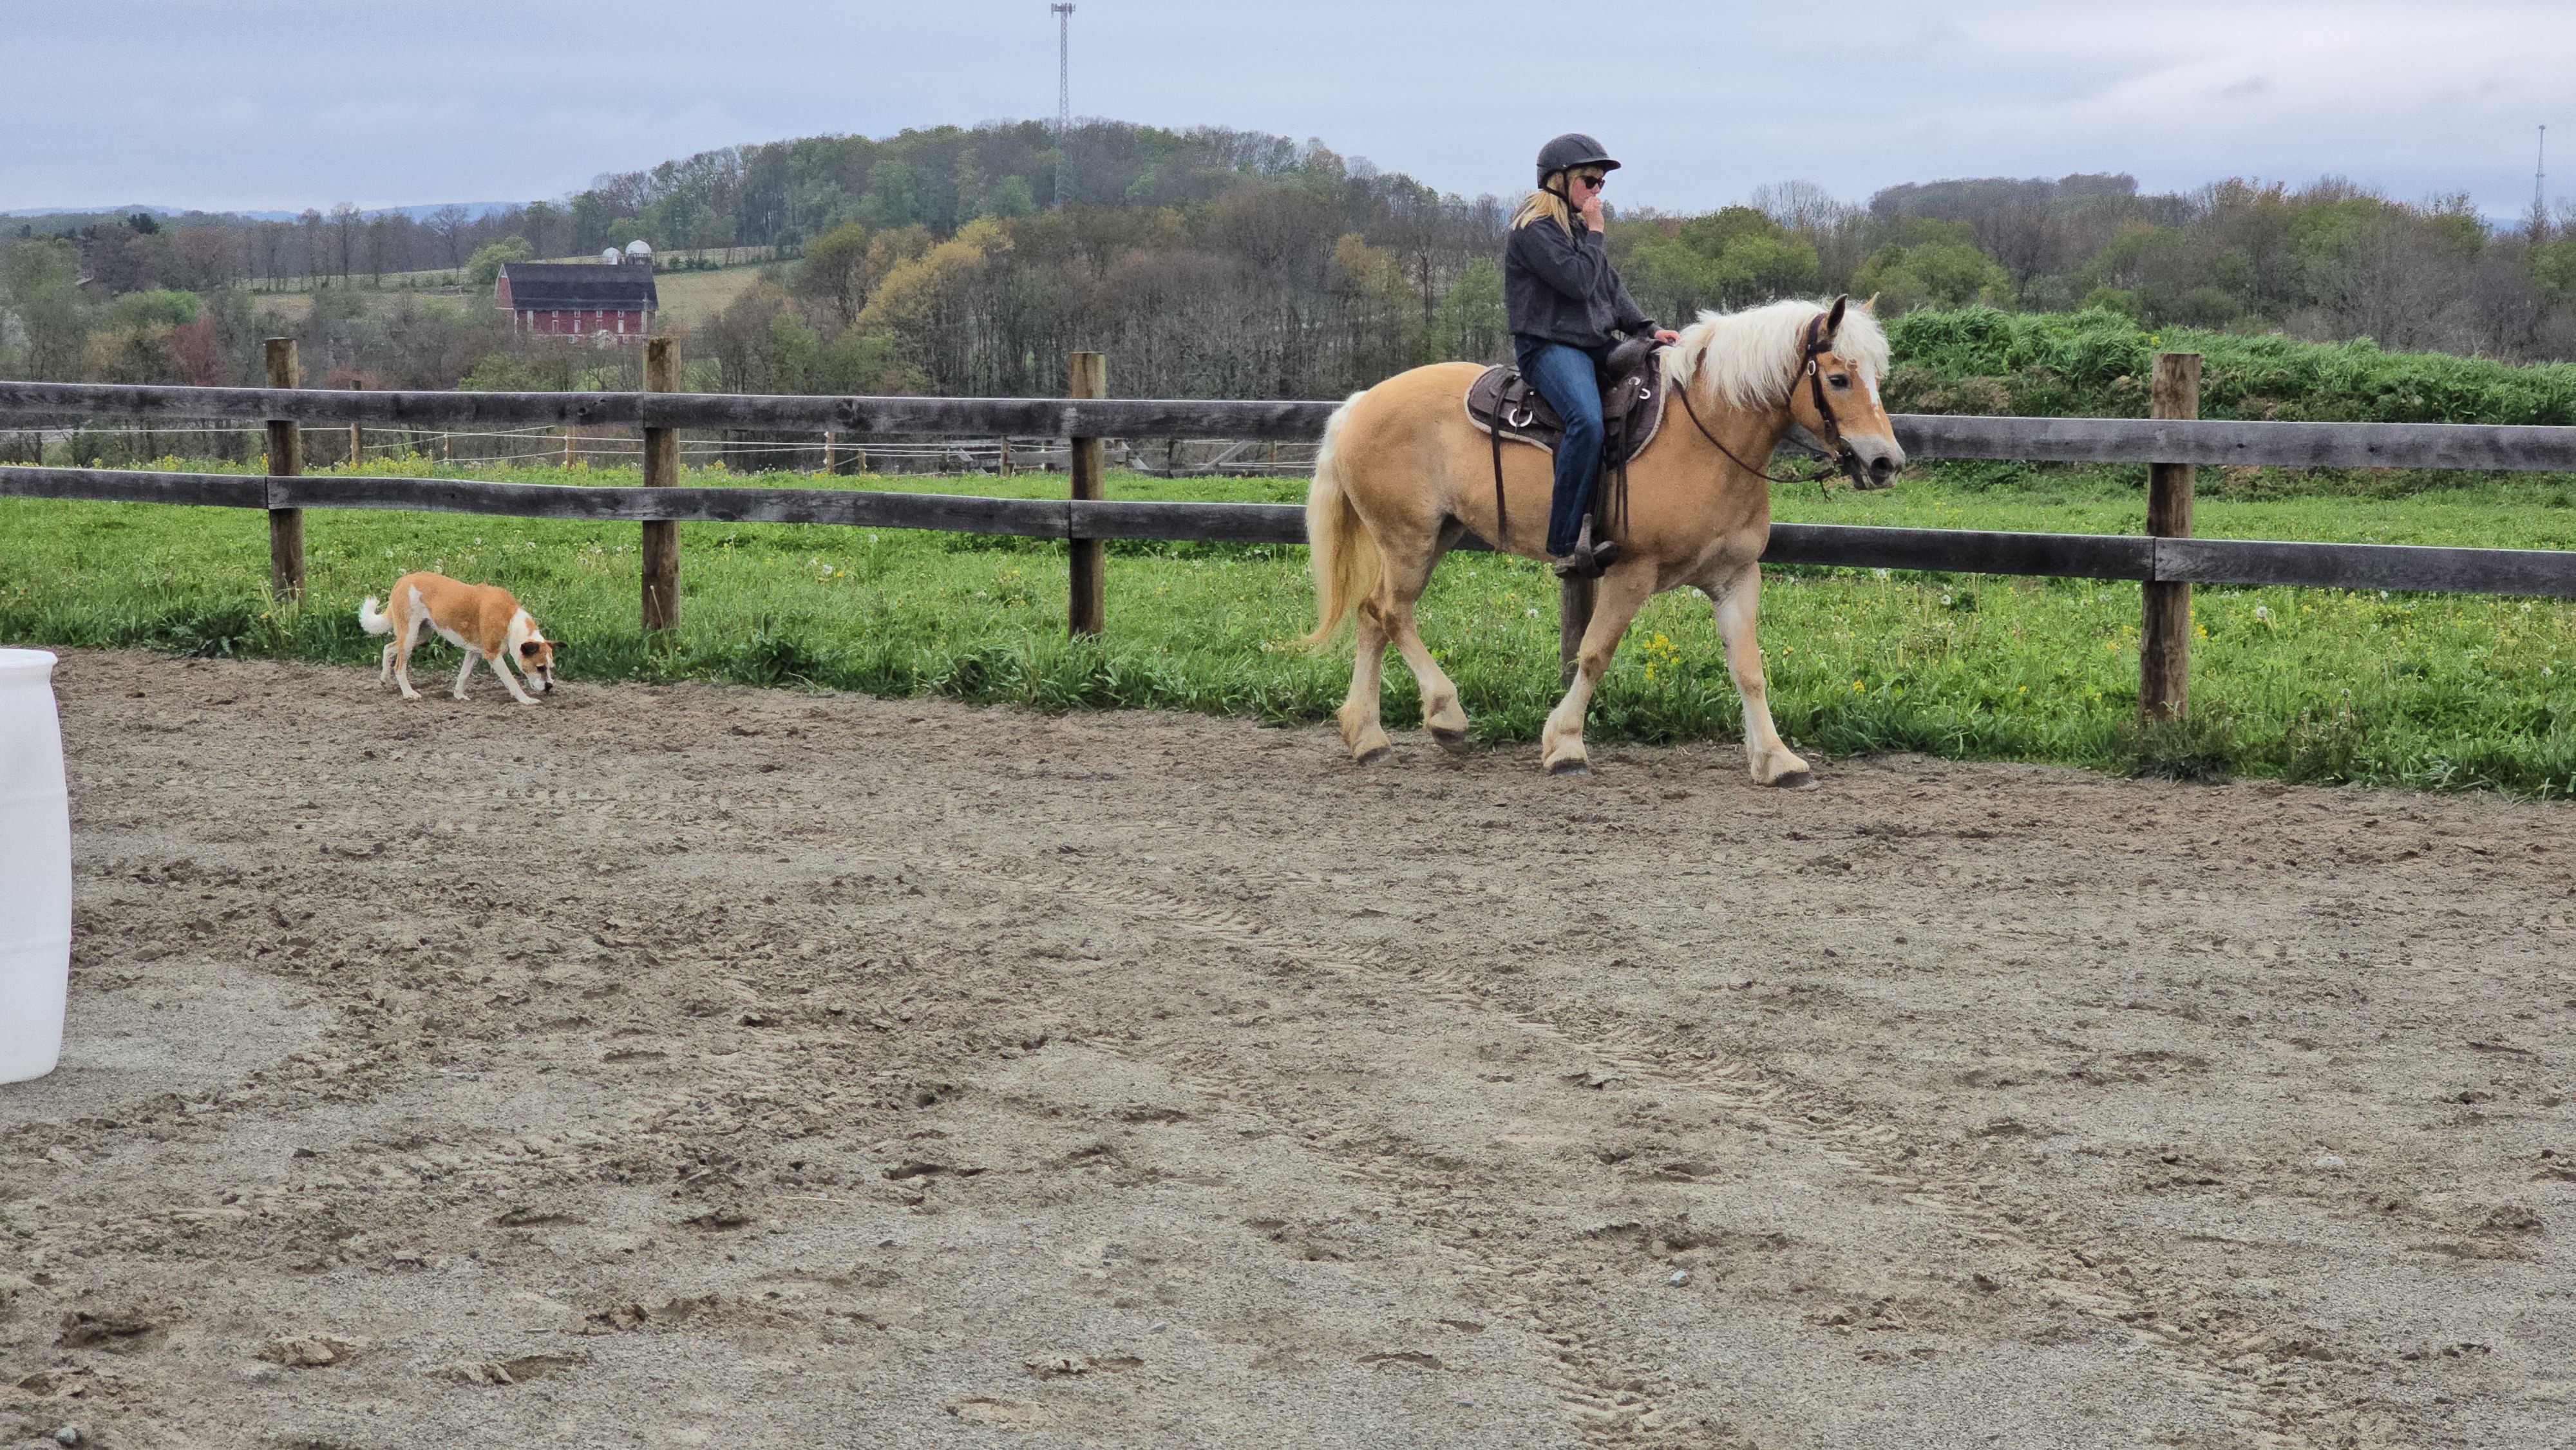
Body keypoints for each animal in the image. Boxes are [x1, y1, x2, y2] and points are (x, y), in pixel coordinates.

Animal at [1303, 295, 1904, 786]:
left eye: (1878, 374)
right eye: (1838, 378)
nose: (1886, 463)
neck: (1707, 438)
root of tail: (1359, 404)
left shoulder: (1737, 578)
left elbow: (1749, 669)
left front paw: (1777, 759)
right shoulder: (1630, 573)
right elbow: (1594, 654)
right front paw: (1566, 744)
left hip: (1430, 539)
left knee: (1374, 615)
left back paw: (1367, 736)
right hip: (1408, 540)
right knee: (1392, 614)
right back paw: (1445, 716)